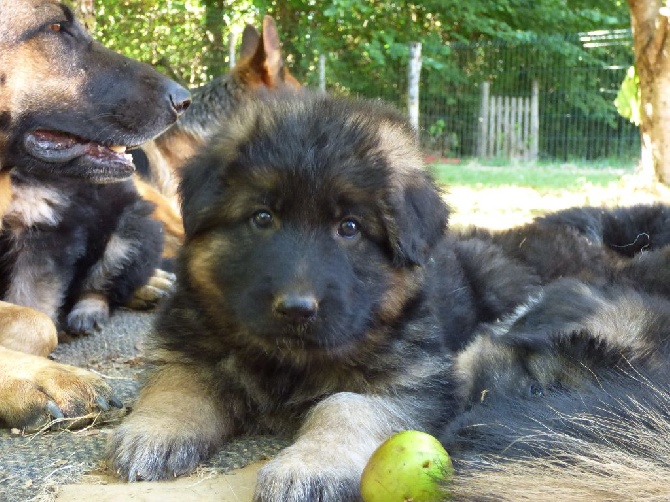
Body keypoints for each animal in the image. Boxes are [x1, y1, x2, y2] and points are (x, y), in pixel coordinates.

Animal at [110, 92, 670, 500]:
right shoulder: (192, 340)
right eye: (262, 217)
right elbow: (179, 382)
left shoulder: (413, 384)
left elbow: (345, 406)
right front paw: (154, 431)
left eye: (350, 228)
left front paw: (309, 466)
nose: (296, 308)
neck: (288, 362)